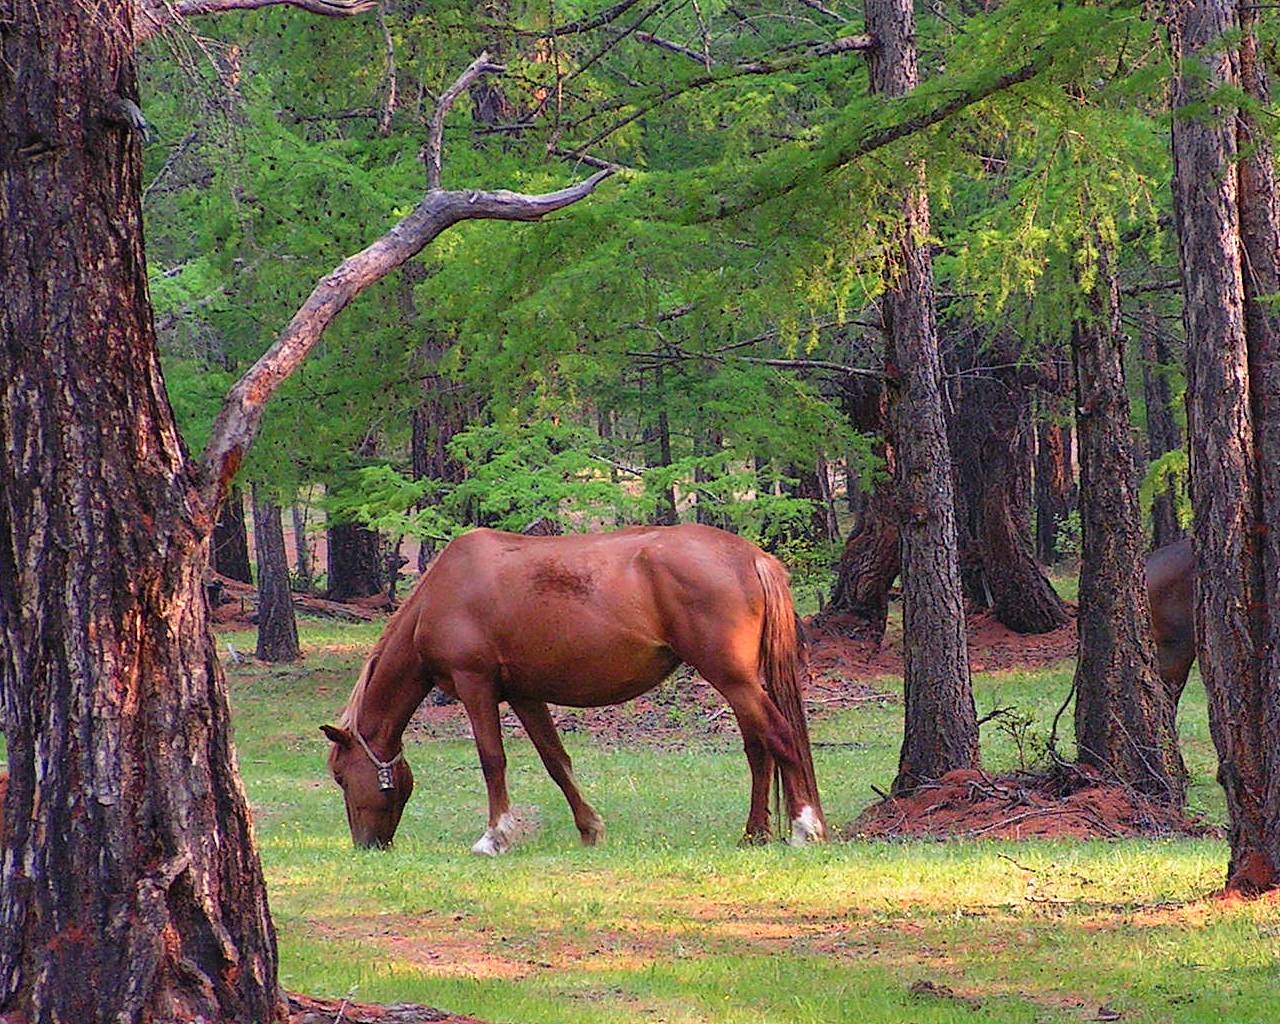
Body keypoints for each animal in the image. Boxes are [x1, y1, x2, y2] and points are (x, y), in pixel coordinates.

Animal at [317, 524, 819, 849]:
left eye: (341, 775)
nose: (366, 845)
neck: (441, 594)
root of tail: (752, 556)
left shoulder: (475, 684)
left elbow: (492, 760)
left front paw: (495, 836)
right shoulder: (524, 694)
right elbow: (556, 761)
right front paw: (589, 827)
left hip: (732, 678)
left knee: (780, 737)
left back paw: (804, 828)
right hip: (739, 683)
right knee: (758, 749)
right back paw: (754, 833)